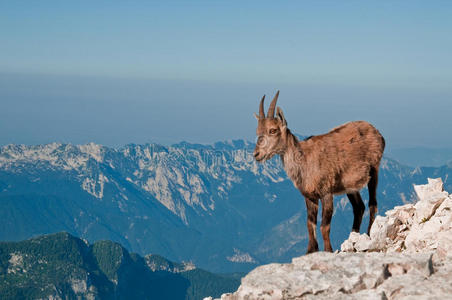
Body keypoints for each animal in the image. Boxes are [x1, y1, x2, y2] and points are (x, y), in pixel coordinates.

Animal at [254, 91, 384, 253]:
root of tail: (377, 132)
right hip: (350, 186)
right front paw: (310, 251)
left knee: (372, 203)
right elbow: (310, 225)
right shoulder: (310, 197)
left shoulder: (326, 193)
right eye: (258, 131)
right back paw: (352, 237)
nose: (256, 154)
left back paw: (368, 235)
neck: (305, 162)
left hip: (374, 170)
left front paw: (328, 251)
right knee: (359, 207)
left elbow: (324, 227)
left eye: (273, 130)